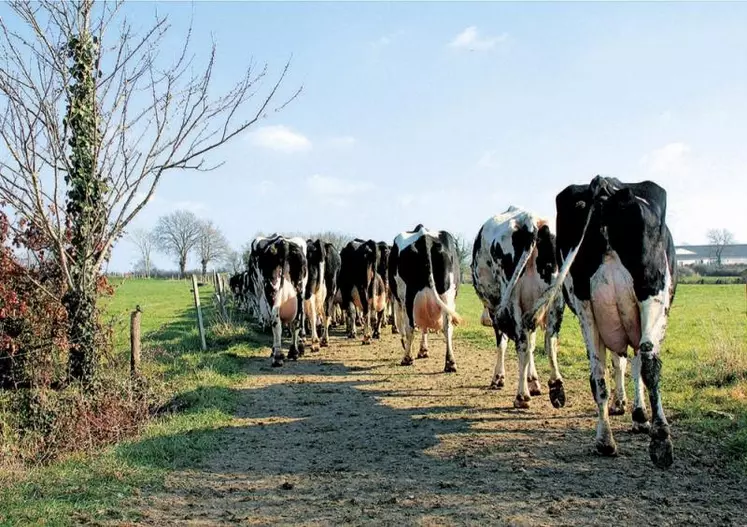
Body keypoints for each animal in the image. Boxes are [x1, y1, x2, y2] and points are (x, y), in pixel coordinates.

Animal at [253, 235, 308, 368]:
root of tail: (283, 242)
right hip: (299, 291)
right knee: (295, 320)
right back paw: (292, 352)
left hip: (271, 290)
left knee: (277, 320)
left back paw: (279, 355)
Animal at [392, 225, 462, 374]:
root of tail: (425, 238)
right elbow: (425, 325)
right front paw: (423, 350)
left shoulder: (400, 301)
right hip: (447, 294)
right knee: (447, 327)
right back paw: (450, 363)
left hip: (408, 296)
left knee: (410, 327)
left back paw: (407, 358)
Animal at [474, 208, 568, 410]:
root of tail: (530, 221)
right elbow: (533, 344)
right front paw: (533, 382)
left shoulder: (496, 308)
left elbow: (502, 343)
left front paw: (498, 378)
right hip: (555, 298)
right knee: (550, 341)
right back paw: (556, 387)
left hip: (512, 300)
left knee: (522, 344)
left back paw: (521, 396)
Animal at [528, 175, 680, 468]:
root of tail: (604, 184)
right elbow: (635, 365)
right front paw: (639, 416)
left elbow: (618, 363)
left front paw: (622, 406)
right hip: (651, 292)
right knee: (649, 364)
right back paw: (660, 439)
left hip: (584, 305)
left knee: (596, 373)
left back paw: (604, 440)